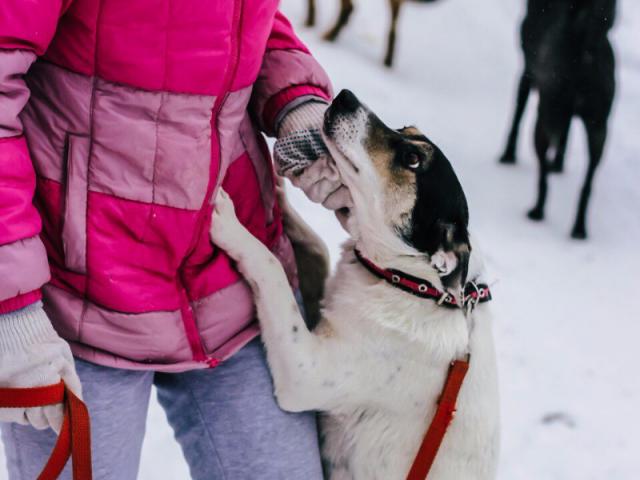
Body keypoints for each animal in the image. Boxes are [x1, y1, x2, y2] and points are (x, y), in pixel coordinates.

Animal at [211, 91, 500, 480]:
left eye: (412, 160)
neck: (409, 282)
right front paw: (278, 196)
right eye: (406, 128)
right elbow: (316, 247)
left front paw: (229, 223)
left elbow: (270, 266)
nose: (345, 96)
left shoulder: (305, 371)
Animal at [500, 0, 616, 240]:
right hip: (599, 130)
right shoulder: (566, 116)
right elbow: (565, 136)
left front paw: (507, 156)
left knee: (542, 176)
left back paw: (537, 212)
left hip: (543, 121)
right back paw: (579, 228)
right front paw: (559, 165)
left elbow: (516, 117)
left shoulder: (527, 75)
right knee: (587, 184)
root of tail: (584, 47)